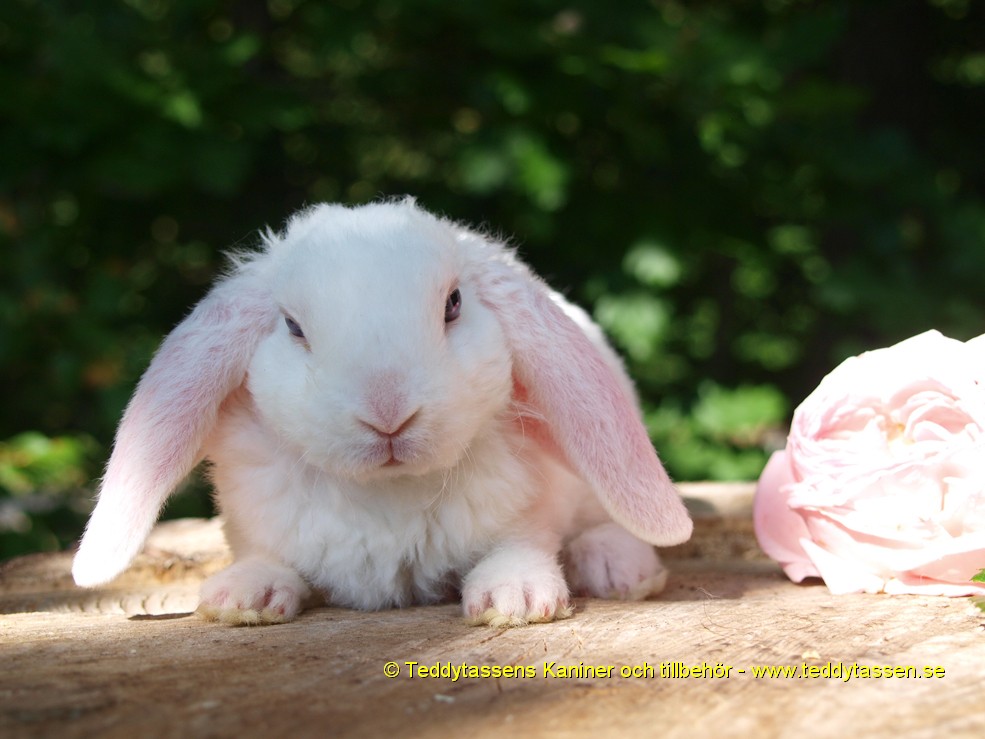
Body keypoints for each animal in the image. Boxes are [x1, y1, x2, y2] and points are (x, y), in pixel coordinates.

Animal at [71, 199, 692, 628]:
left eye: (453, 305)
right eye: (293, 327)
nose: (388, 412)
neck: (387, 492)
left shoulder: (528, 512)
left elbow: (519, 545)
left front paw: (516, 597)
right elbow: (268, 559)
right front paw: (244, 596)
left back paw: (617, 566)